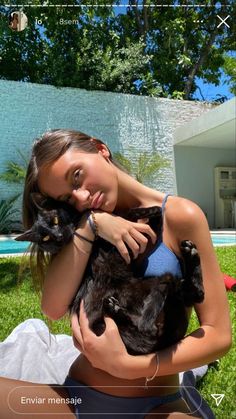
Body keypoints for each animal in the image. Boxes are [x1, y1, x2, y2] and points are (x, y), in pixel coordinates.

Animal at [17, 199, 205, 356]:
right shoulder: (127, 250)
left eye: (55, 221)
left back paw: (191, 253)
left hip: (154, 284)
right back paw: (119, 310)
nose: (58, 237)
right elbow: (143, 224)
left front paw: (147, 210)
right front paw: (142, 213)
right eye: (46, 238)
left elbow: (147, 220)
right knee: (148, 328)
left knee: (195, 294)